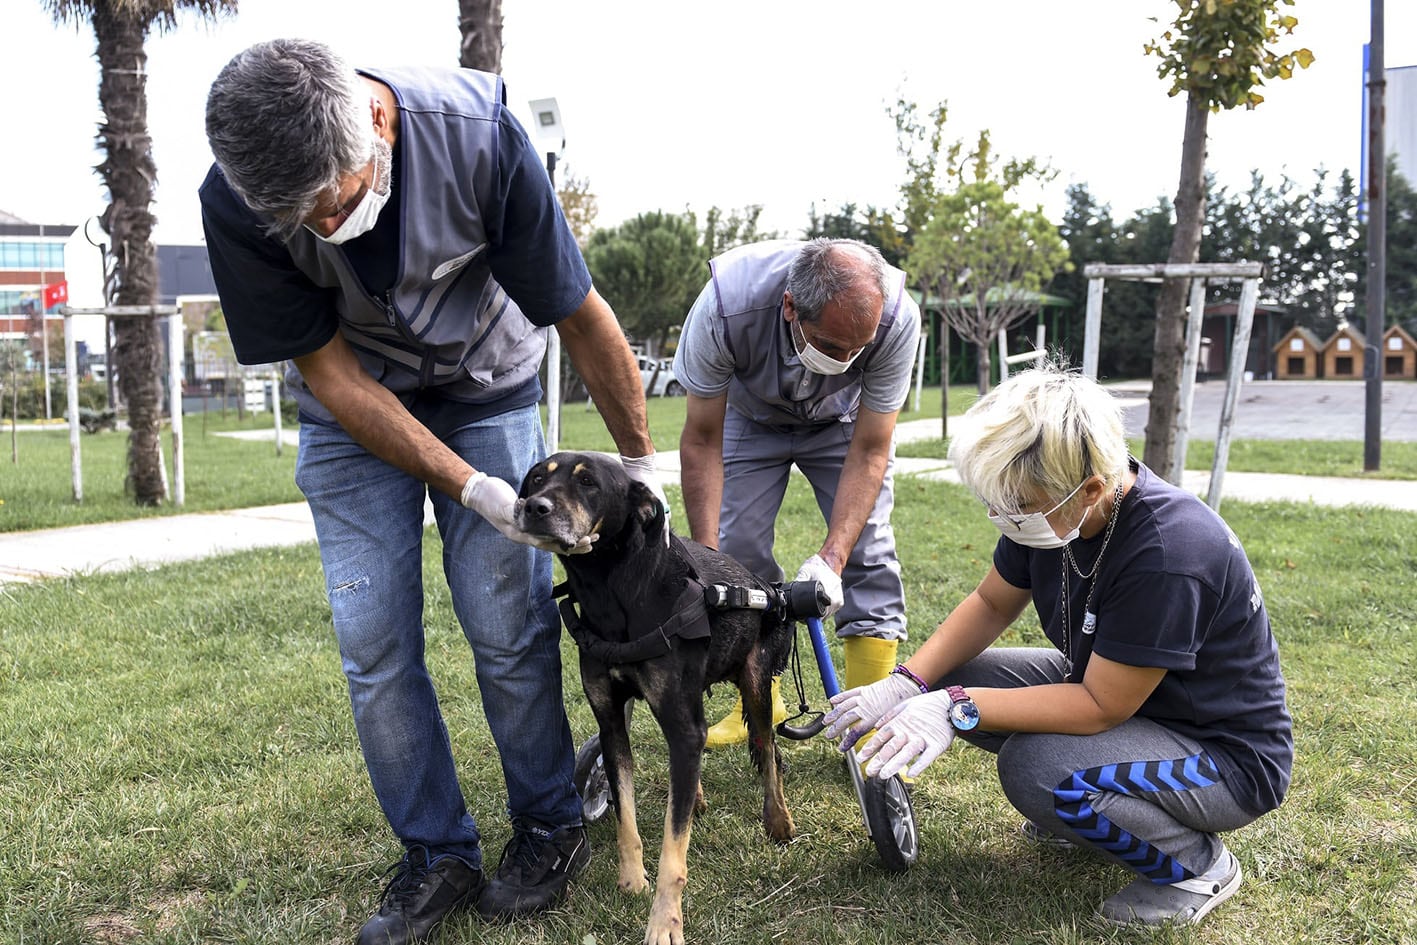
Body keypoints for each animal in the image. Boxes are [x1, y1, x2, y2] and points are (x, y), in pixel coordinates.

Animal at [515, 450, 793, 945]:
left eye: (588, 483)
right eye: (535, 480)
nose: (534, 508)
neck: (611, 587)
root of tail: (767, 588)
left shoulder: (684, 726)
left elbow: (673, 851)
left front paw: (664, 923)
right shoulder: (611, 723)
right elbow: (625, 814)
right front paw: (631, 879)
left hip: (757, 685)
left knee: (769, 752)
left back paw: (778, 821)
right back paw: (697, 796)